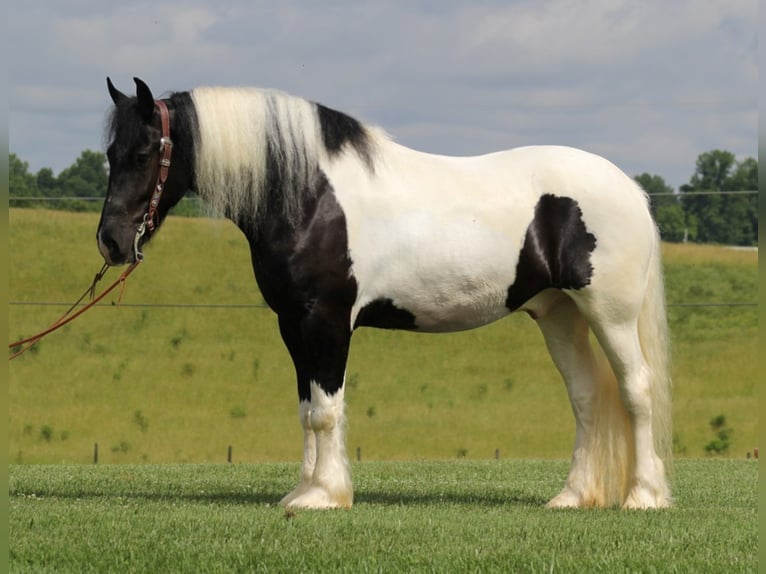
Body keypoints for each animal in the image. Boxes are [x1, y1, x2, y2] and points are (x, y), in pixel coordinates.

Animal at [99, 77, 676, 512]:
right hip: (559, 314)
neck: (311, 195)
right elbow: (307, 409)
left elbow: (326, 410)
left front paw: (324, 496)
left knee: (636, 390)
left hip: (610, 313)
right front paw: (304, 490)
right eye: (110, 152)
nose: (111, 241)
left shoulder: (327, 320)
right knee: (586, 396)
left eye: (145, 152)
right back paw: (572, 497)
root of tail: (631, 188)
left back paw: (644, 496)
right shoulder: (293, 324)